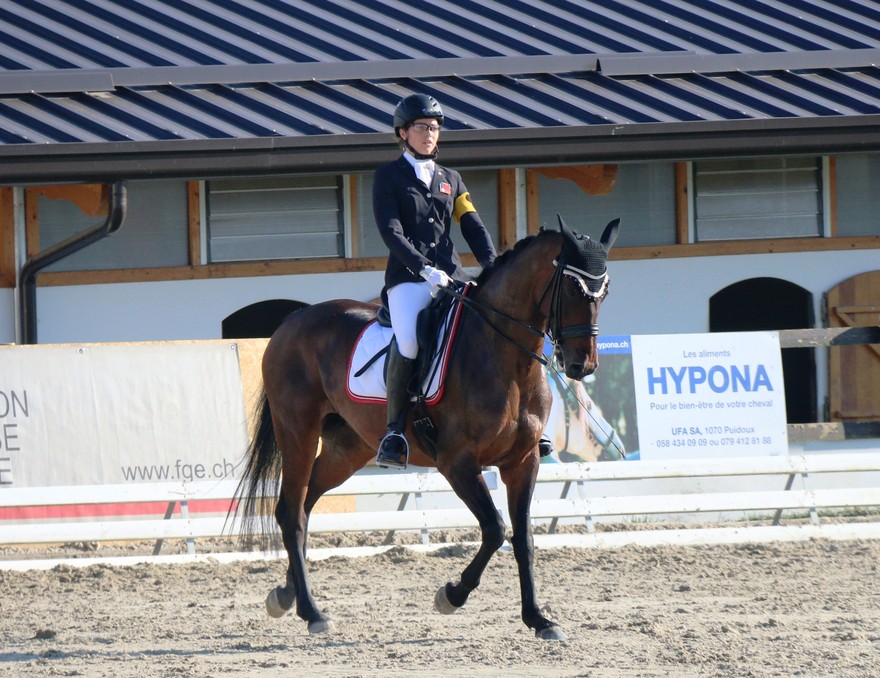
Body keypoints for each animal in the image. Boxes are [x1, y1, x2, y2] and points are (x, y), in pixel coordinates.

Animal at [234, 215, 620, 641]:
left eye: (605, 290)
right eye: (572, 287)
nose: (582, 365)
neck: (504, 357)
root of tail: (290, 322)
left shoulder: (523, 461)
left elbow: (524, 538)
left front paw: (539, 618)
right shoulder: (457, 463)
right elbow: (495, 529)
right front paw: (451, 595)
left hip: (346, 449)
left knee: (304, 505)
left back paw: (285, 595)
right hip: (298, 433)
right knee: (290, 512)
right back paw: (311, 611)